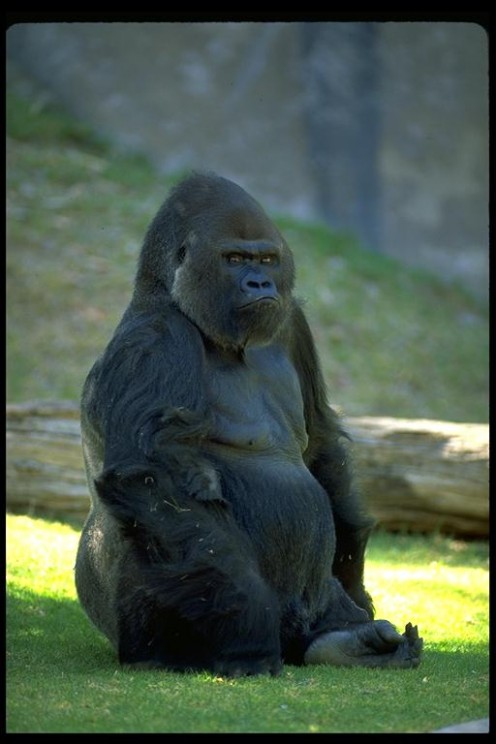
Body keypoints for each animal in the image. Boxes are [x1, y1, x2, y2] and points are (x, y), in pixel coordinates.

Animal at [74, 171, 422, 676]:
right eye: (234, 259)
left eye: (265, 259)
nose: (258, 283)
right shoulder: (155, 340)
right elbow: (150, 477)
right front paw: (247, 634)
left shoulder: (293, 321)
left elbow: (320, 445)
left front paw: (356, 589)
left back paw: (347, 642)